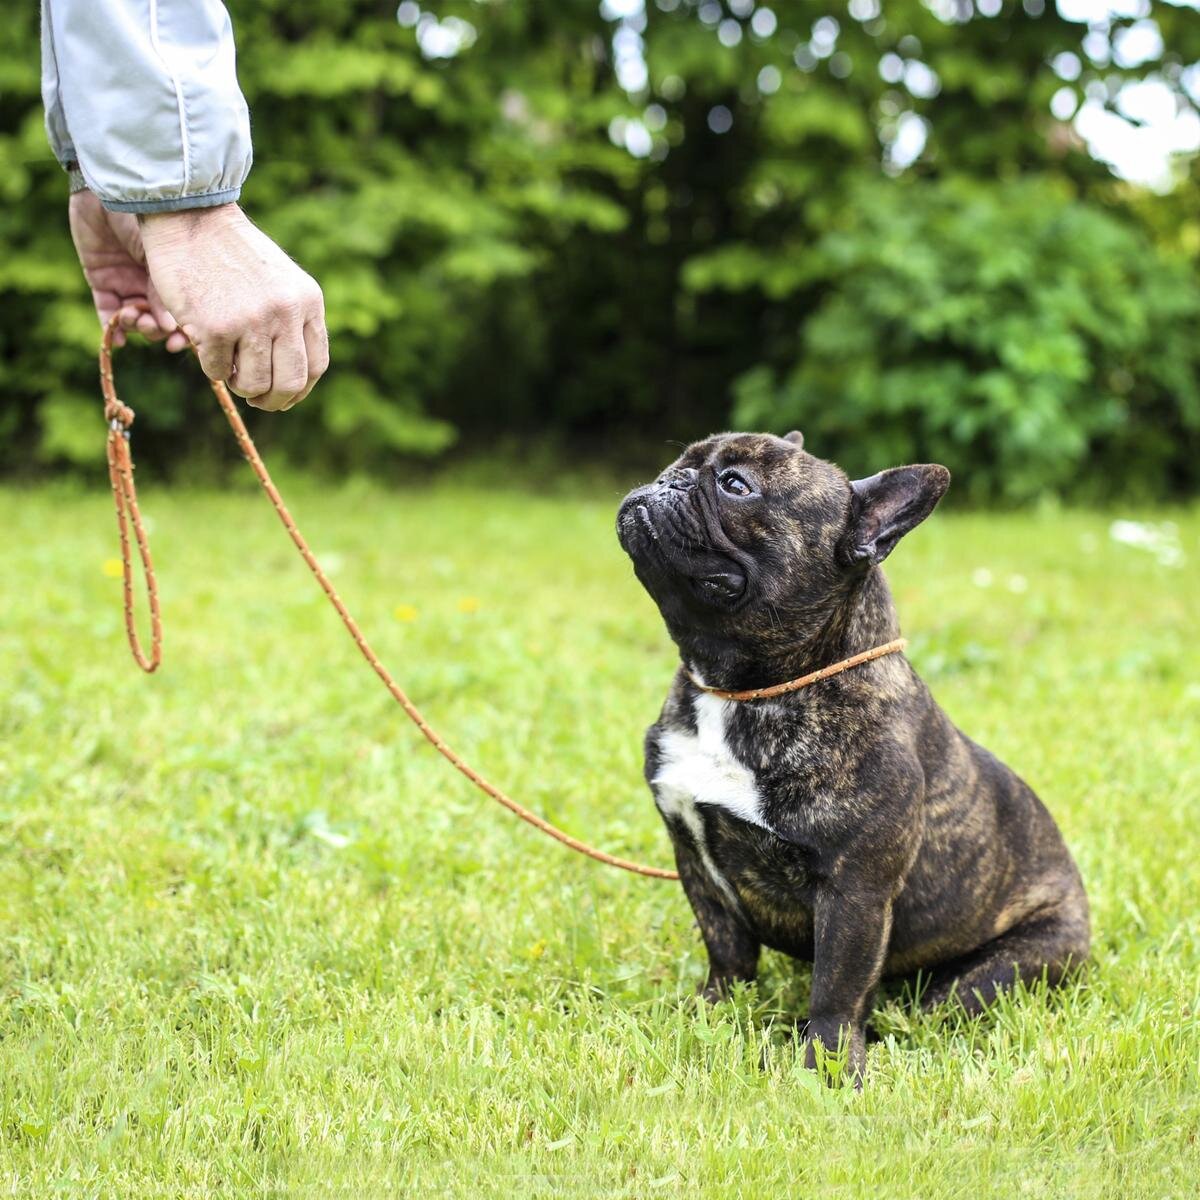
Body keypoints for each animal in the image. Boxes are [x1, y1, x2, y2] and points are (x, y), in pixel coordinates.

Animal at [614, 434, 1094, 1089]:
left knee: (938, 1002)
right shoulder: (694, 858)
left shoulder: (854, 890)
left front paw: (828, 1069)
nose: (672, 480)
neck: (741, 693)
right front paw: (711, 1011)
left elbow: (838, 991)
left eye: (736, 485)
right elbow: (727, 951)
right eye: (683, 460)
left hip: (1005, 965)